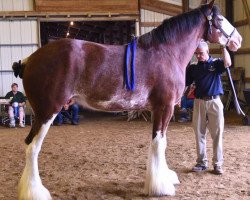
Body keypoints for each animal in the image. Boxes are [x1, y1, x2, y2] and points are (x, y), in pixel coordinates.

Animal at [12, 0, 241, 199]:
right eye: (220, 19)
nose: (238, 40)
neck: (166, 53)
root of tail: (30, 59)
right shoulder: (164, 108)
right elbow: (159, 143)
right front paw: (160, 187)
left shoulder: (159, 110)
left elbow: (162, 142)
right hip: (47, 112)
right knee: (32, 147)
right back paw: (35, 193)